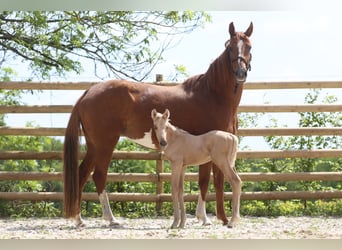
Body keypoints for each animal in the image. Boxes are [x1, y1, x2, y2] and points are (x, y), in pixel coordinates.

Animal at [62, 22, 252, 228]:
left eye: (249, 47)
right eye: (230, 47)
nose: (240, 73)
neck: (212, 94)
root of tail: (88, 92)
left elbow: (208, 181)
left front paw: (207, 218)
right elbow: (208, 181)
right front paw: (209, 218)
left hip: (94, 145)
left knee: (82, 174)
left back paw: (79, 219)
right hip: (105, 144)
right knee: (99, 175)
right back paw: (110, 219)